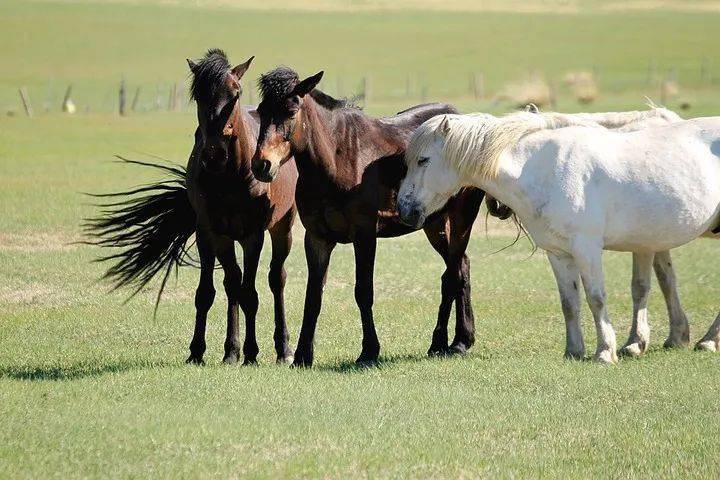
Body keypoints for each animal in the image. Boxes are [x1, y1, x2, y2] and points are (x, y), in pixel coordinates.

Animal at [85, 50, 298, 364]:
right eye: (198, 95)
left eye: (236, 93)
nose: (214, 153)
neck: (232, 175)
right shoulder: (210, 233)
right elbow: (208, 292)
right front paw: (199, 351)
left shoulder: (253, 235)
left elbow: (250, 293)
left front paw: (252, 353)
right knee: (232, 282)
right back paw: (231, 351)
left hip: (282, 228)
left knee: (276, 279)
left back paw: (282, 349)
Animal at [249, 66, 484, 368]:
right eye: (262, 111)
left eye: (291, 111)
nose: (261, 164)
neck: (336, 159)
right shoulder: (317, 238)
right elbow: (313, 296)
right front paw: (302, 354)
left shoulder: (365, 235)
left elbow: (363, 291)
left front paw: (369, 351)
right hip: (434, 224)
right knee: (459, 268)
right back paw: (449, 341)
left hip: (461, 218)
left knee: (455, 273)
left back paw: (454, 341)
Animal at [396, 109, 720, 364]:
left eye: (423, 160)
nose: (404, 209)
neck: (542, 170)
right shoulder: (558, 254)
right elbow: (569, 302)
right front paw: (573, 351)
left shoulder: (587, 249)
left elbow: (596, 298)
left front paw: (605, 351)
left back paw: (707, 341)